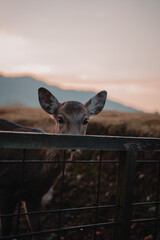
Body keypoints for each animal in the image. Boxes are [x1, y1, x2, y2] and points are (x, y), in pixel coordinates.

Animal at [0, 87, 107, 239]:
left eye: (86, 120)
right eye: (60, 118)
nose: (74, 141)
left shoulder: (35, 195)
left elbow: (36, 229)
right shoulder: (6, 188)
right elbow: (5, 229)